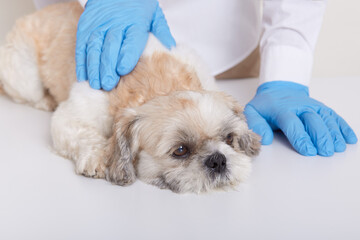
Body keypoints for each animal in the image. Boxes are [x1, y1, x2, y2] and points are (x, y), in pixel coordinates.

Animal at [0, 1, 260, 193]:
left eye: (229, 138)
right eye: (180, 150)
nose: (218, 160)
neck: (159, 82)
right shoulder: (70, 116)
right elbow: (84, 134)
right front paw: (97, 156)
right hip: (25, 77)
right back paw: (45, 100)